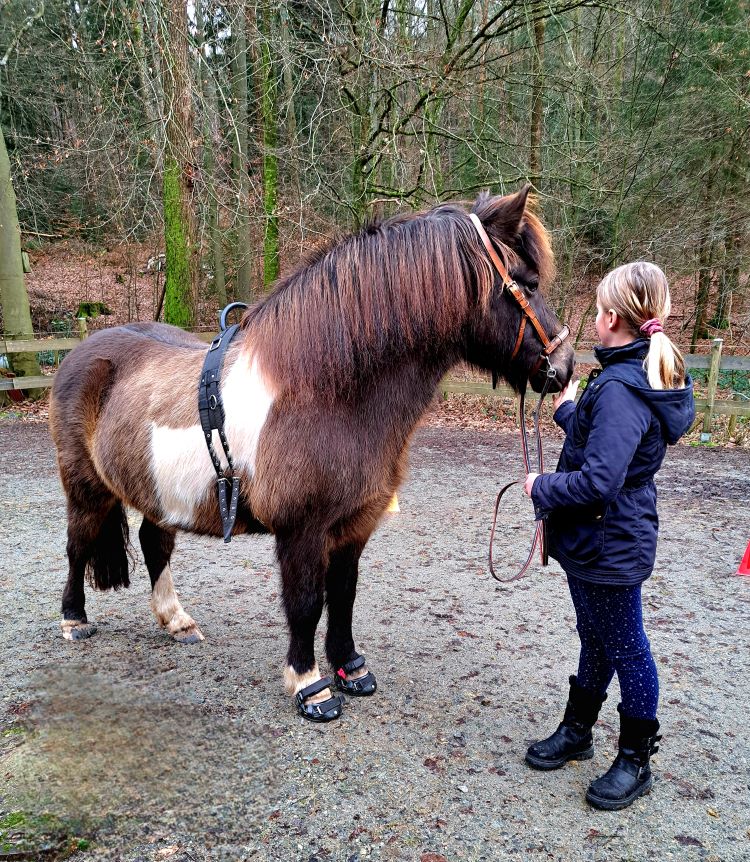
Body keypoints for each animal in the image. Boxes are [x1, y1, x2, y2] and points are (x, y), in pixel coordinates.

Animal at [48, 187, 576, 724]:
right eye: (527, 283)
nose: (565, 366)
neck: (325, 391)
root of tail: (81, 352)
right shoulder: (301, 529)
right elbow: (304, 602)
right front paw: (310, 686)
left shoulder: (355, 523)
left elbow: (342, 595)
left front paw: (351, 668)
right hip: (86, 489)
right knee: (77, 545)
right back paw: (74, 620)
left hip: (160, 493)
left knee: (154, 544)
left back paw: (177, 622)